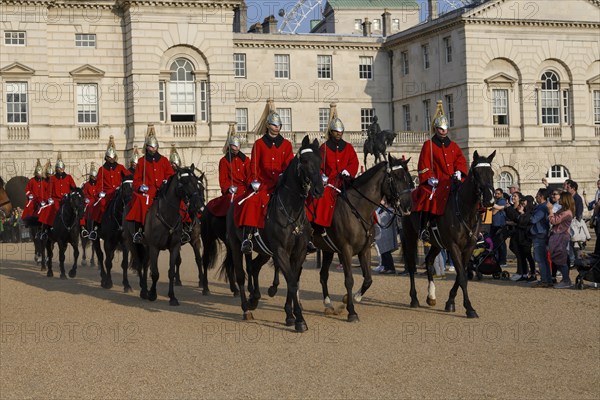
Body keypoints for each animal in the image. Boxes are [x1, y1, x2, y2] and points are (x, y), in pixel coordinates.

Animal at [125, 164, 206, 304]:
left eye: (198, 184)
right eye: (184, 182)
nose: (199, 206)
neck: (167, 214)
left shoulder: (178, 245)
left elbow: (172, 270)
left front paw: (172, 297)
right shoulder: (154, 247)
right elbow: (155, 273)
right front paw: (153, 294)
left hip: (146, 246)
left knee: (145, 264)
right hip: (132, 243)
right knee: (140, 264)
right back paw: (143, 290)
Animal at [224, 136, 324, 332]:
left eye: (320, 160)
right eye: (304, 161)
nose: (318, 190)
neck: (292, 211)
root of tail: (234, 204)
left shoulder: (298, 253)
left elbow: (293, 280)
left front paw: (290, 315)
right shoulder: (281, 252)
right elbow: (291, 282)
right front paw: (299, 320)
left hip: (264, 252)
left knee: (254, 267)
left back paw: (255, 298)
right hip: (236, 247)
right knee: (240, 274)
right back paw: (246, 308)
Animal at [398, 151, 496, 318]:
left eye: (492, 173)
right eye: (477, 173)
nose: (490, 199)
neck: (465, 210)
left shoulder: (469, 247)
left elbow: (461, 274)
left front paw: (450, 302)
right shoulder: (453, 246)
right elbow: (462, 276)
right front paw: (469, 308)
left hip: (437, 243)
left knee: (429, 261)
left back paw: (431, 296)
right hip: (410, 237)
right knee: (411, 266)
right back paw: (414, 299)